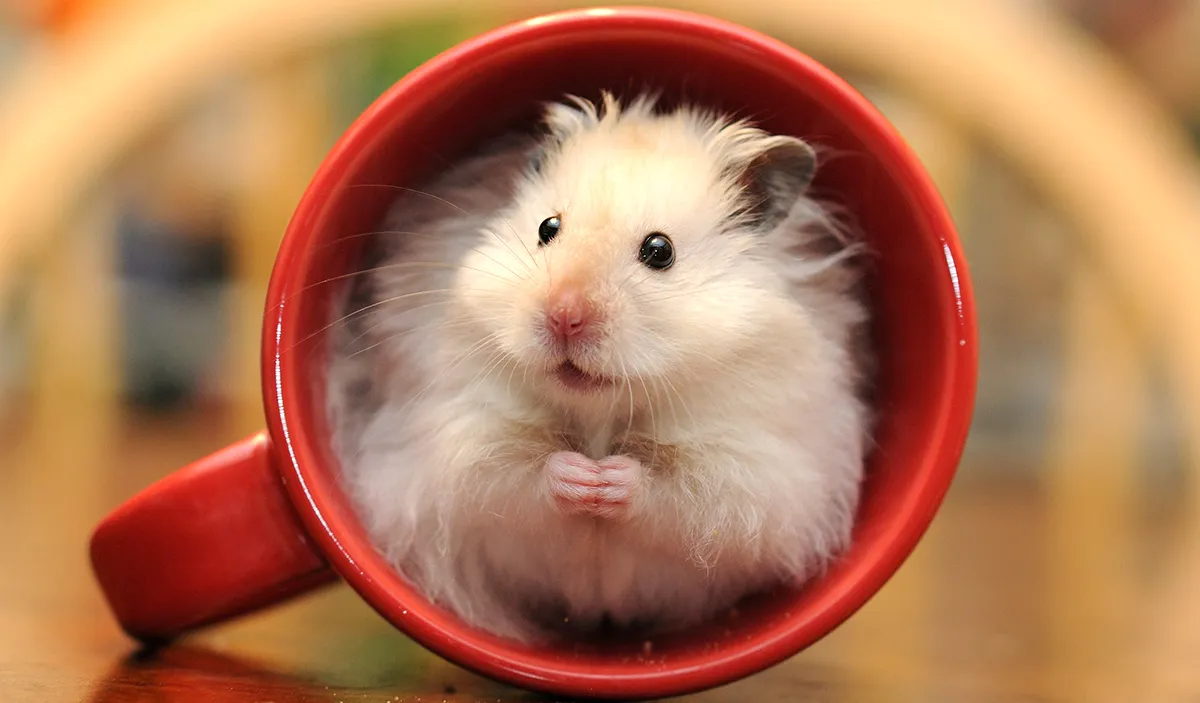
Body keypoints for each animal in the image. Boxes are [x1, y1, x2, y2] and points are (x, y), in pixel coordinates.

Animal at [326, 92, 874, 644]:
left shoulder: (753, 472)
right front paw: (580, 478)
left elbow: (681, 496)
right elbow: (513, 475)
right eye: (547, 229)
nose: (564, 316)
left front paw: (606, 480)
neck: (598, 413)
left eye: (660, 251)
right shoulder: (461, 442)